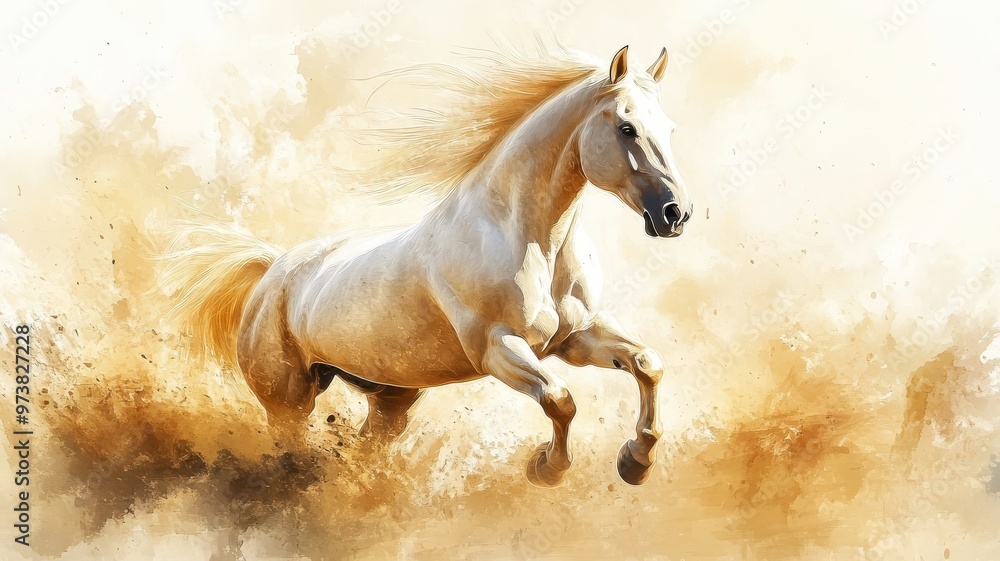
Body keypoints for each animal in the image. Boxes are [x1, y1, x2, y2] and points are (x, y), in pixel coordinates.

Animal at [161, 45, 693, 486]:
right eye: (626, 127)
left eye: (669, 129)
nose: (675, 214)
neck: (528, 239)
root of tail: (271, 272)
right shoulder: (499, 348)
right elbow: (559, 399)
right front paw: (547, 468)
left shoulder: (576, 338)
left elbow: (647, 364)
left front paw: (635, 462)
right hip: (288, 403)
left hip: (391, 399)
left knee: (367, 444)